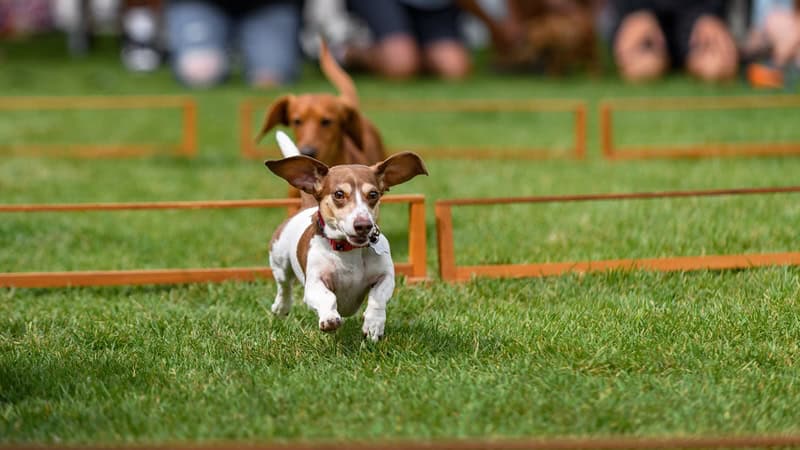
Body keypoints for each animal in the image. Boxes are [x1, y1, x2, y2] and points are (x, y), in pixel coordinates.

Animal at [264, 132, 428, 340]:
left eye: (373, 194)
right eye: (339, 194)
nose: (363, 225)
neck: (348, 250)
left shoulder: (386, 277)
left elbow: (378, 297)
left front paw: (373, 325)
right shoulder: (314, 284)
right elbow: (327, 297)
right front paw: (329, 318)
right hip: (280, 261)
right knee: (284, 286)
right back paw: (281, 307)